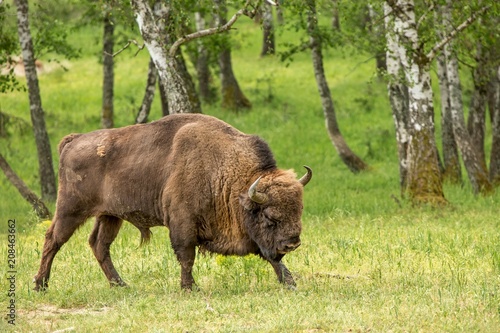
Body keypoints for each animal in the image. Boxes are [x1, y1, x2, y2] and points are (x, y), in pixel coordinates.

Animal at [33, 113, 310, 290]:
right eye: (270, 216)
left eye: (299, 210)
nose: (293, 243)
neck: (224, 173)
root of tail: (74, 140)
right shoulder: (182, 223)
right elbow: (186, 256)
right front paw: (190, 288)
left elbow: (273, 259)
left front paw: (290, 283)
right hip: (70, 209)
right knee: (53, 239)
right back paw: (40, 285)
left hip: (110, 215)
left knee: (99, 245)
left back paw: (120, 284)